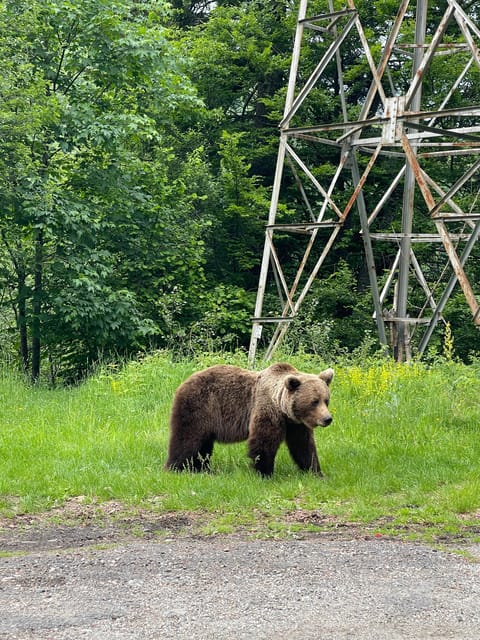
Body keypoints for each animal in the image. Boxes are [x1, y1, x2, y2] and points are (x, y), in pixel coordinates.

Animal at [165, 362, 334, 478]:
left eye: (326, 400)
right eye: (314, 401)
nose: (327, 419)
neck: (282, 407)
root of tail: (183, 383)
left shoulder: (295, 424)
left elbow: (303, 446)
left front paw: (316, 472)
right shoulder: (267, 410)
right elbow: (263, 442)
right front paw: (265, 473)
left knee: (204, 445)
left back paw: (201, 468)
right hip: (199, 408)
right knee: (187, 439)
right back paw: (175, 468)